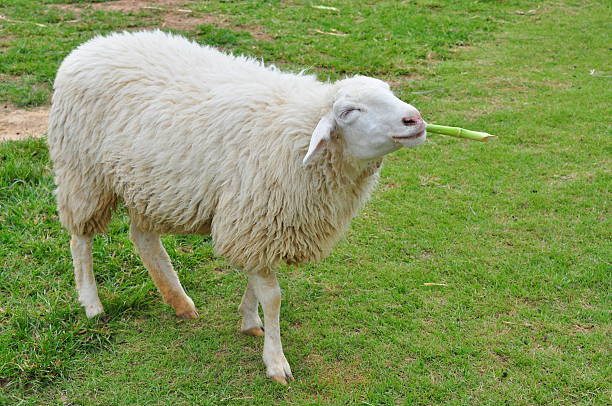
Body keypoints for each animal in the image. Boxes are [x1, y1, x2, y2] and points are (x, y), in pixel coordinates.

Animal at [47, 30, 426, 382]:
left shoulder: (259, 223)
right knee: (81, 239)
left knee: (143, 238)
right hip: (83, 173)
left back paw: (179, 300)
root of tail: (92, 45)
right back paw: (92, 304)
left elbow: (256, 284)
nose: (415, 120)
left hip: (148, 186)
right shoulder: (256, 218)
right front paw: (275, 361)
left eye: (389, 91)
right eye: (348, 112)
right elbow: (272, 296)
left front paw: (250, 320)